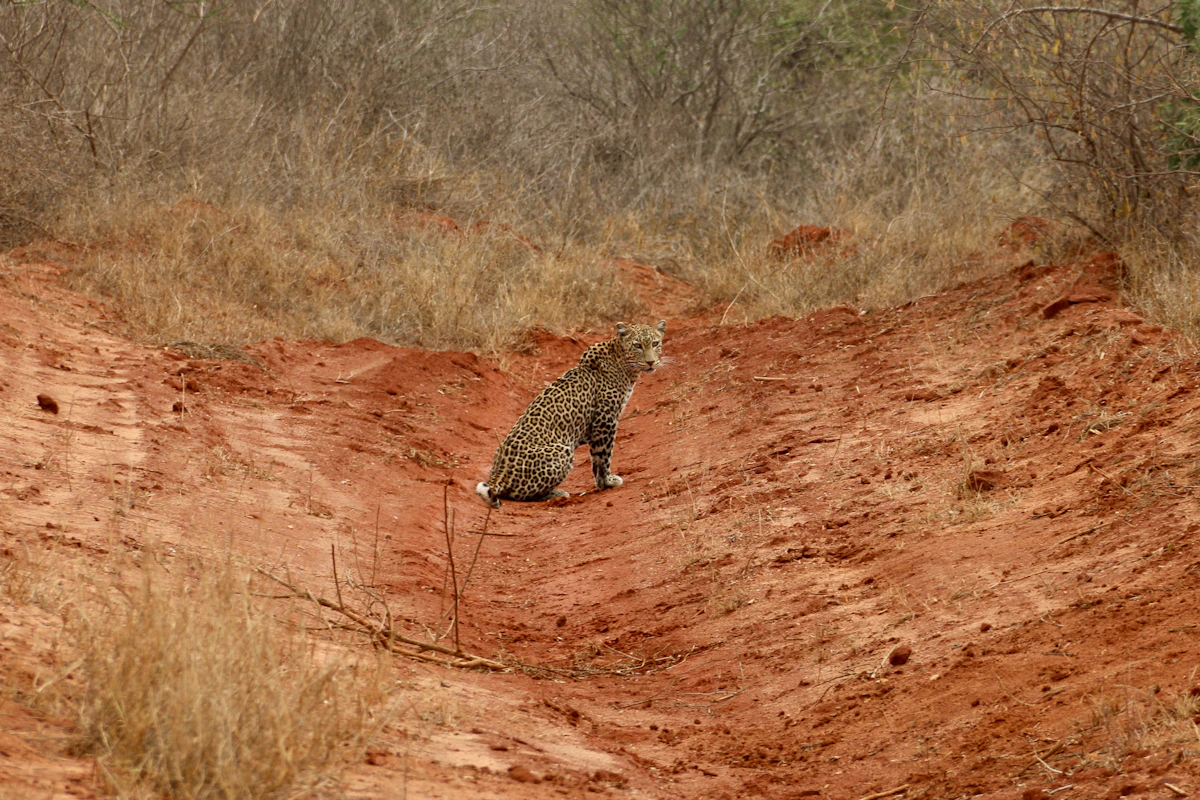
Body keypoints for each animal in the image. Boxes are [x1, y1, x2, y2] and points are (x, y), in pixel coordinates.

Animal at [476, 320, 666, 508]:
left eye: (655, 343)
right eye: (637, 345)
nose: (651, 362)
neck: (624, 364)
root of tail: (498, 475)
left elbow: (596, 459)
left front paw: (601, 483)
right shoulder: (605, 420)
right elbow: (604, 456)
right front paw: (608, 482)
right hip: (562, 450)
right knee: (521, 494)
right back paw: (557, 494)